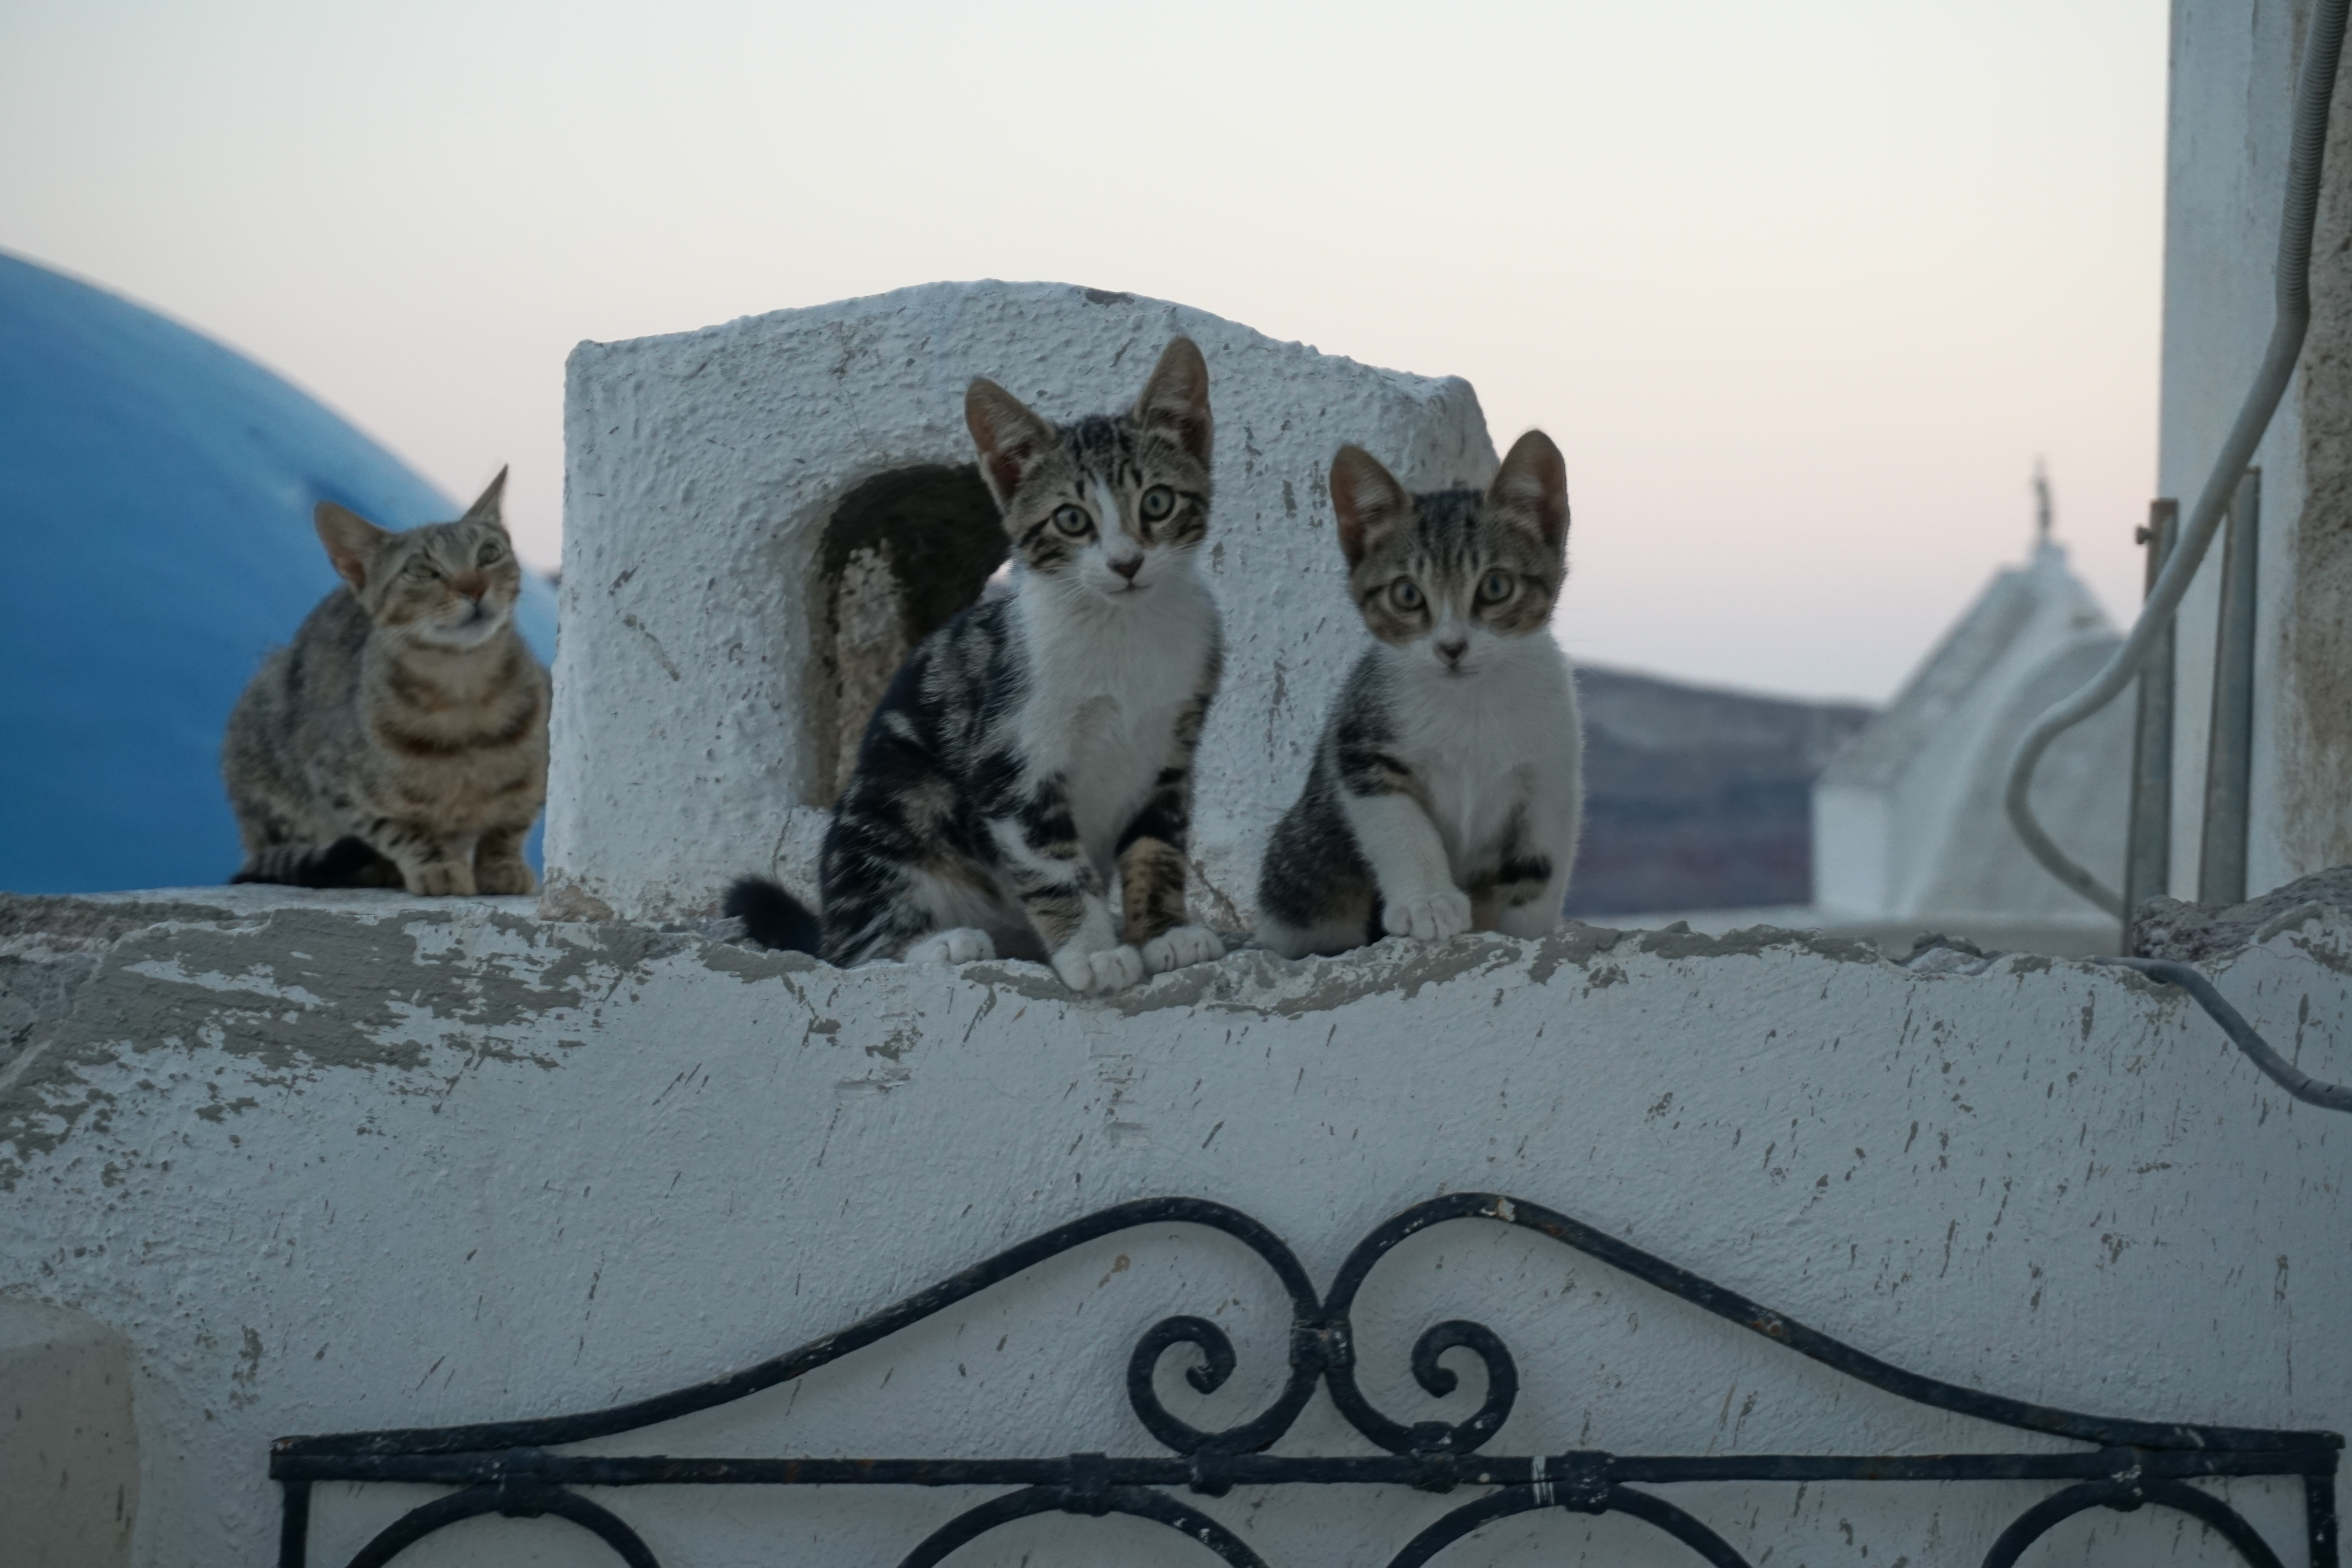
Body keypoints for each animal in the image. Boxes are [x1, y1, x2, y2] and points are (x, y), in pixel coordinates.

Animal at [221, 470, 550, 893]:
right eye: (422, 571)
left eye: (489, 553)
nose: (474, 588)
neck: (465, 694)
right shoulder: (333, 780)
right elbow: (397, 829)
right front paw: (435, 865)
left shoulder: (539, 774)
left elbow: (510, 824)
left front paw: (502, 865)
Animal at [724, 338, 1223, 992]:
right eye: (1071, 518)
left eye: (1158, 502)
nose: (1126, 563)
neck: (1122, 629)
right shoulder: (1009, 753)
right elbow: (1052, 863)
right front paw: (1093, 953)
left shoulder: (1172, 746)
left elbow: (1158, 845)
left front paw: (1163, 934)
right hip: (895, 798)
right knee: (852, 948)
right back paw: (937, 943)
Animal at [1251, 434, 1581, 964]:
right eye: (1407, 594)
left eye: (1495, 586)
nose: (1451, 646)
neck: (1469, 703)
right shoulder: (1360, 743)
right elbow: (1399, 825)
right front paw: (1429, 900)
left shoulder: (1550, 775)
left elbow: (1539, 866)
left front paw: (1529, 936)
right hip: (1304, 859)